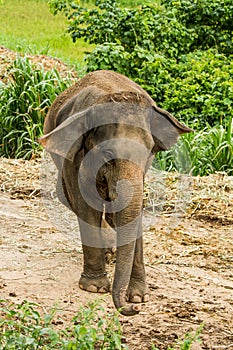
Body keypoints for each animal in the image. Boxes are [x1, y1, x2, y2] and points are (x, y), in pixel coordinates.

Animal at [39, 69, 192, 316]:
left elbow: (133, 211)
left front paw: (139, 296)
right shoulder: (75, 157)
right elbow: (85, 205)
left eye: (150, 153)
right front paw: (94, 287)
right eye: (108, 153)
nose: (132, 309)